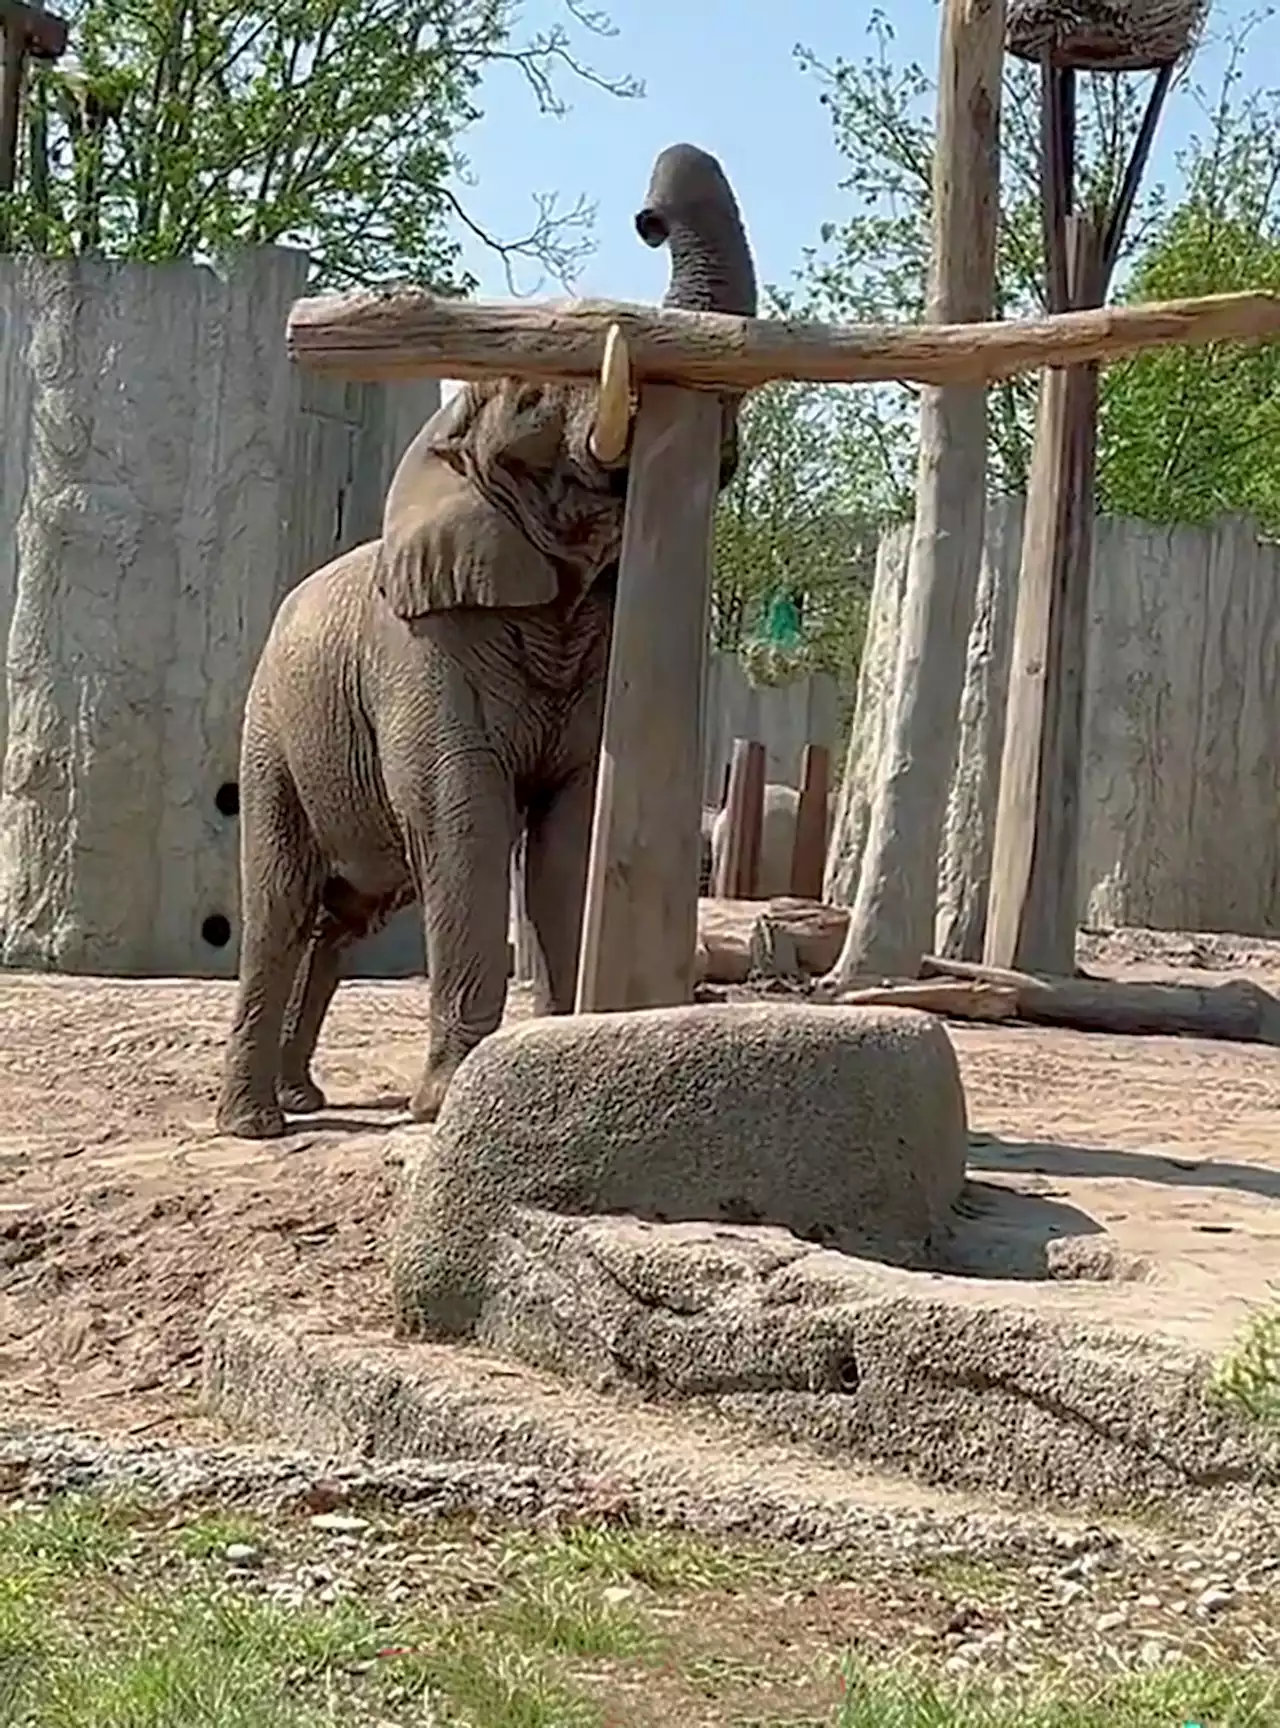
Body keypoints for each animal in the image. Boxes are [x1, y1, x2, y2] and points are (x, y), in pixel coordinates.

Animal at [213, 141, 753, 1140]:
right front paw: (448, 1098)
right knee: (277, 906)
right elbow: (463, 814)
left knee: (343, 918)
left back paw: (303, 1099)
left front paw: (558, 1060)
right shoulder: (422, 647)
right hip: (268, 737)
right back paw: (255, 1124)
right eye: (533, 389)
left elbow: (569, 831)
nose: (646, 216)